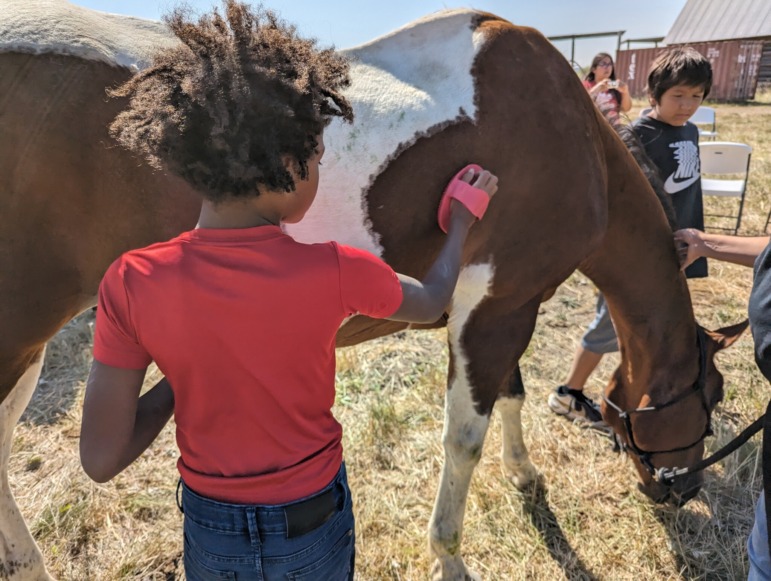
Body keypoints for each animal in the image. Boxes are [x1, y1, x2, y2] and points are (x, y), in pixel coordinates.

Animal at [0, 2, 744, 576]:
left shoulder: (500, 304)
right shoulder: (498, 308)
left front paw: (525, 474)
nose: (682, 490)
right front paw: (448, 553)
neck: (573, 133)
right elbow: (463, 438)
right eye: (709, 400)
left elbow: (510, 394)